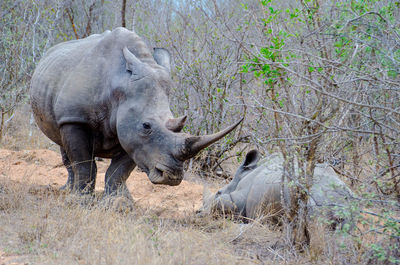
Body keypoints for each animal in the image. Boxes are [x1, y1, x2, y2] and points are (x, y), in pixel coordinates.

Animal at [30, 28, 241, 194]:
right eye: (146, 125)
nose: (171, 177)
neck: (119, 86)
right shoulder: (75, 118)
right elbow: (84, 166)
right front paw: (81, 200)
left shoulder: (132, 135)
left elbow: (118, 173)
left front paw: (119, 204)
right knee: (64, 148)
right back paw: (66, 191)